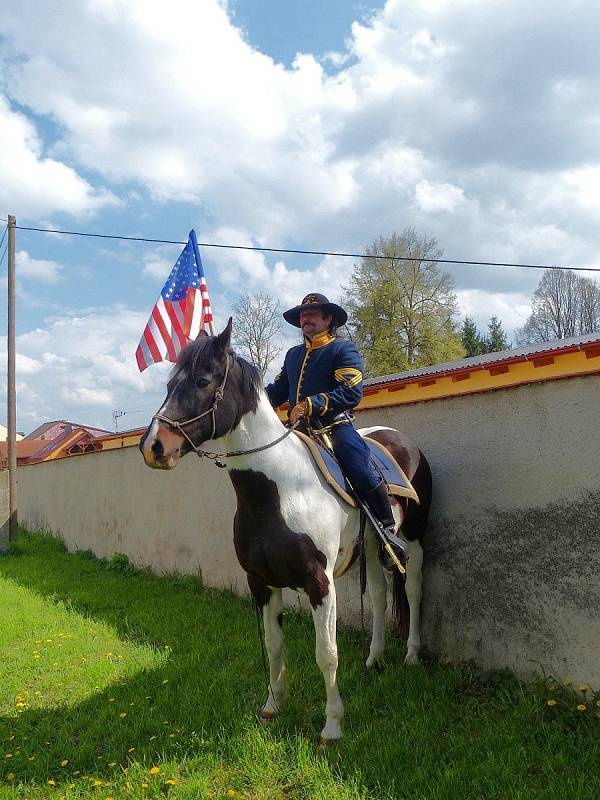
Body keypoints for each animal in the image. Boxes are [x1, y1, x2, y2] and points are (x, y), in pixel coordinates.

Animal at [141, 318, 432, 744]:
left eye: (202, 380)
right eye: (168, 384)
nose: (153, 447)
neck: (280, 491)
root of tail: (403, 441)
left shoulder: (319, 583)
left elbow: (326, 655)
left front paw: (332, 725)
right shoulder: (260, 583)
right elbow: (274, 645)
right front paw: (272, 706)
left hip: (412, 538)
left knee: (412, 587)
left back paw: (411, 655)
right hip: (371, 544)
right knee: (379, 596)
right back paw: (374, 659)